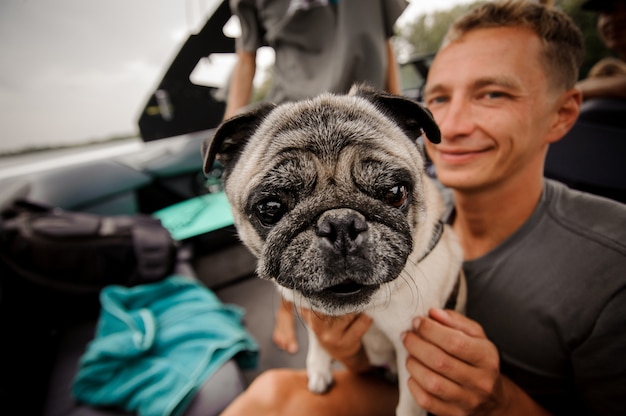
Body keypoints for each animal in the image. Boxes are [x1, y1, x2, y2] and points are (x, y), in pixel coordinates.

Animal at [201, 84, 464, 416]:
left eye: (394, 192)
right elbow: (317, 335)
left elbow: (408, 406)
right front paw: (318, 366)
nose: (340, 223)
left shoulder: (414, 354)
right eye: (270, 209)